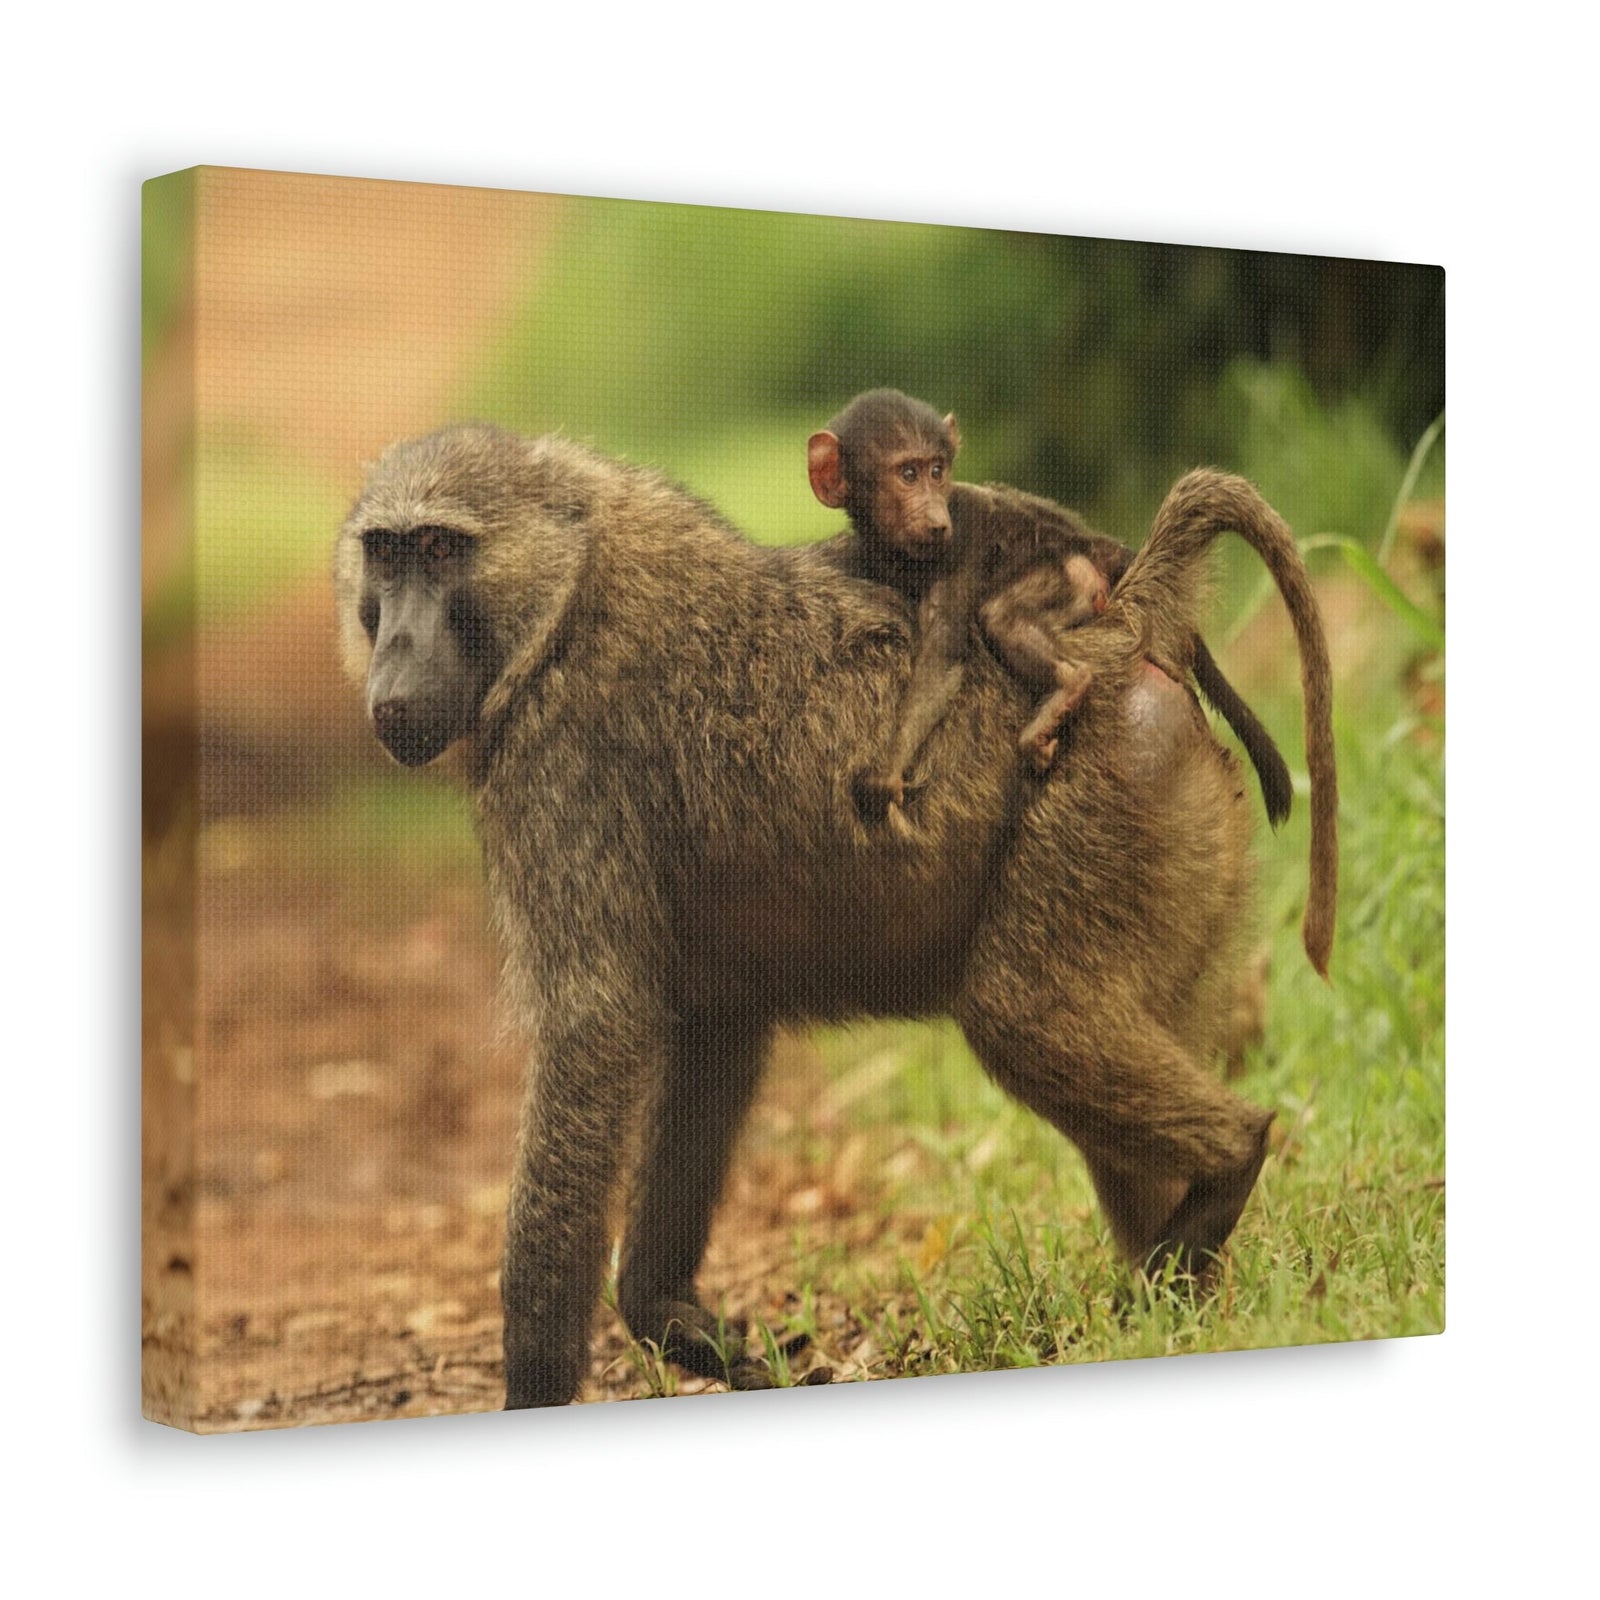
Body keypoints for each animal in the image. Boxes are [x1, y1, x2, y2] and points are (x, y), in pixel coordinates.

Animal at [807, 389, 1293, 825]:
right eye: (908, 474)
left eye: (937, 471)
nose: (935, 518)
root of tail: (1093, 544)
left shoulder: (965, 531)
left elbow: (942, 653)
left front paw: (887, 773)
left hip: (1073, 578)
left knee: (1002, 615)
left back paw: (1069, 684)